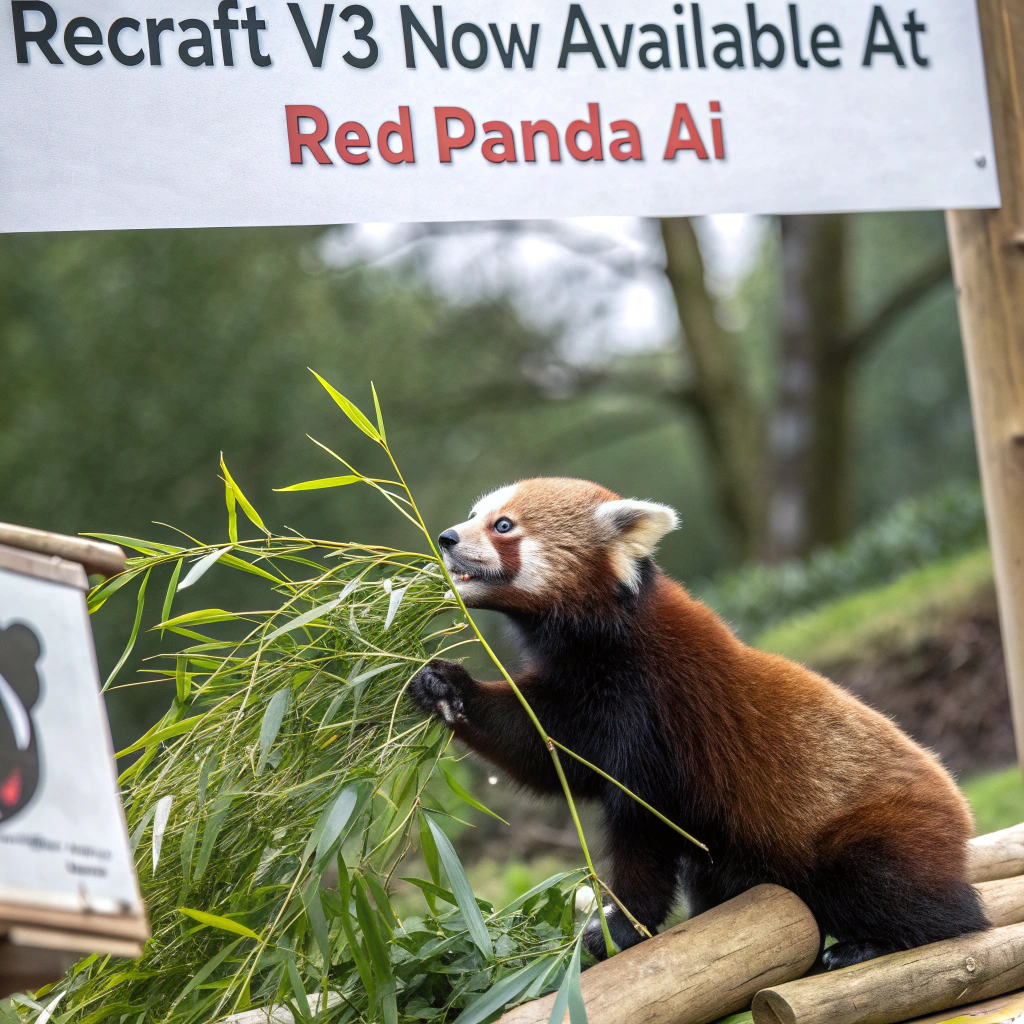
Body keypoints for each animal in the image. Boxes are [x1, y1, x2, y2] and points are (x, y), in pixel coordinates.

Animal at [409, 477, 988, 969]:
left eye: (503, 525)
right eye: (474, 515)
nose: (446, 537)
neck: (602, 640)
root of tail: (960, 813)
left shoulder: (652, 715)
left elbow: (643, 832)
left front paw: (617, 929)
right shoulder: (578, 701)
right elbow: (541, 748)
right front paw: (443, 685)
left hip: (877, 833)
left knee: (910, 898)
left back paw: (871, 943)